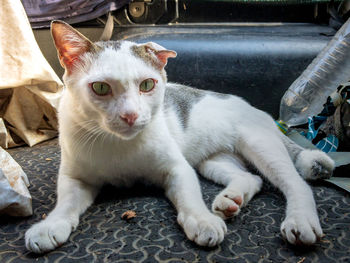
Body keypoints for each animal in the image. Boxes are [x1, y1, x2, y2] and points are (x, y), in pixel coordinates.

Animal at [23, 21, 334, 254]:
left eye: (147, 85)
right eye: (100, 88)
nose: (131, 115)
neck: (120, 146)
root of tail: (256, 109)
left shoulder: (177, 168)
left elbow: (189, 198)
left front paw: (201, 220)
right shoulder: (75, 178)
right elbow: (65, 203)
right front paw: (50, 225)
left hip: (260, 145)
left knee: (296, 184)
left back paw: (300, 220)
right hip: (213, 161)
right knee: (251, 177)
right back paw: (230, 199)